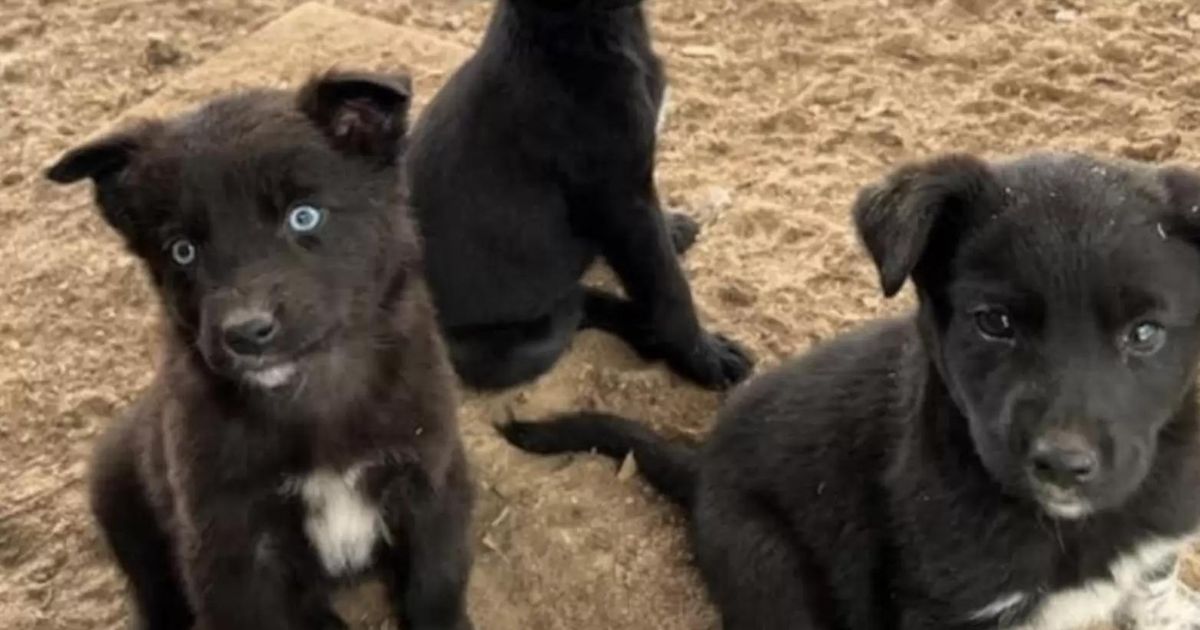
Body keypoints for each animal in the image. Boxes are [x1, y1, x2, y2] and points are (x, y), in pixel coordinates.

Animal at [48, 71, 477, 628]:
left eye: (303, 217)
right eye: (181, 250)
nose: (246, 332)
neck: (313, 395)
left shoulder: (431, 483)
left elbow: (435, 586)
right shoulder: (230, 546)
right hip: (119, 489)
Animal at [408, 0, 753, 391]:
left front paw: (673, 228)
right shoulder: (622, 200)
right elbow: (669, 287)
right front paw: (705, 358)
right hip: (512, 347)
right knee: (576, 303)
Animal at [501, 151, 1200, 628]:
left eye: (1144, 333)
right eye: (994, 323)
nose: (1062, 464)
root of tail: (700, 466)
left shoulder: (1155, 546)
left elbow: (1152, 593)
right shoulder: (944, 605)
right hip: (771, 566)